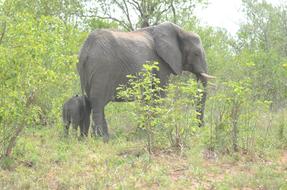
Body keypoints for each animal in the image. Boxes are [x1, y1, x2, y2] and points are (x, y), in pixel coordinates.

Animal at [77, 21, 215, 142]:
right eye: (196, 53)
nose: (200, 127)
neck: (181, 30)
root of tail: (86, 50)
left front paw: (143, 131)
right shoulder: (161, 63)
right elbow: (159, 93)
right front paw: (156, 131)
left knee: (93, 103)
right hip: (102, 69)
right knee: (98, 103)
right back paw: (102, 139)